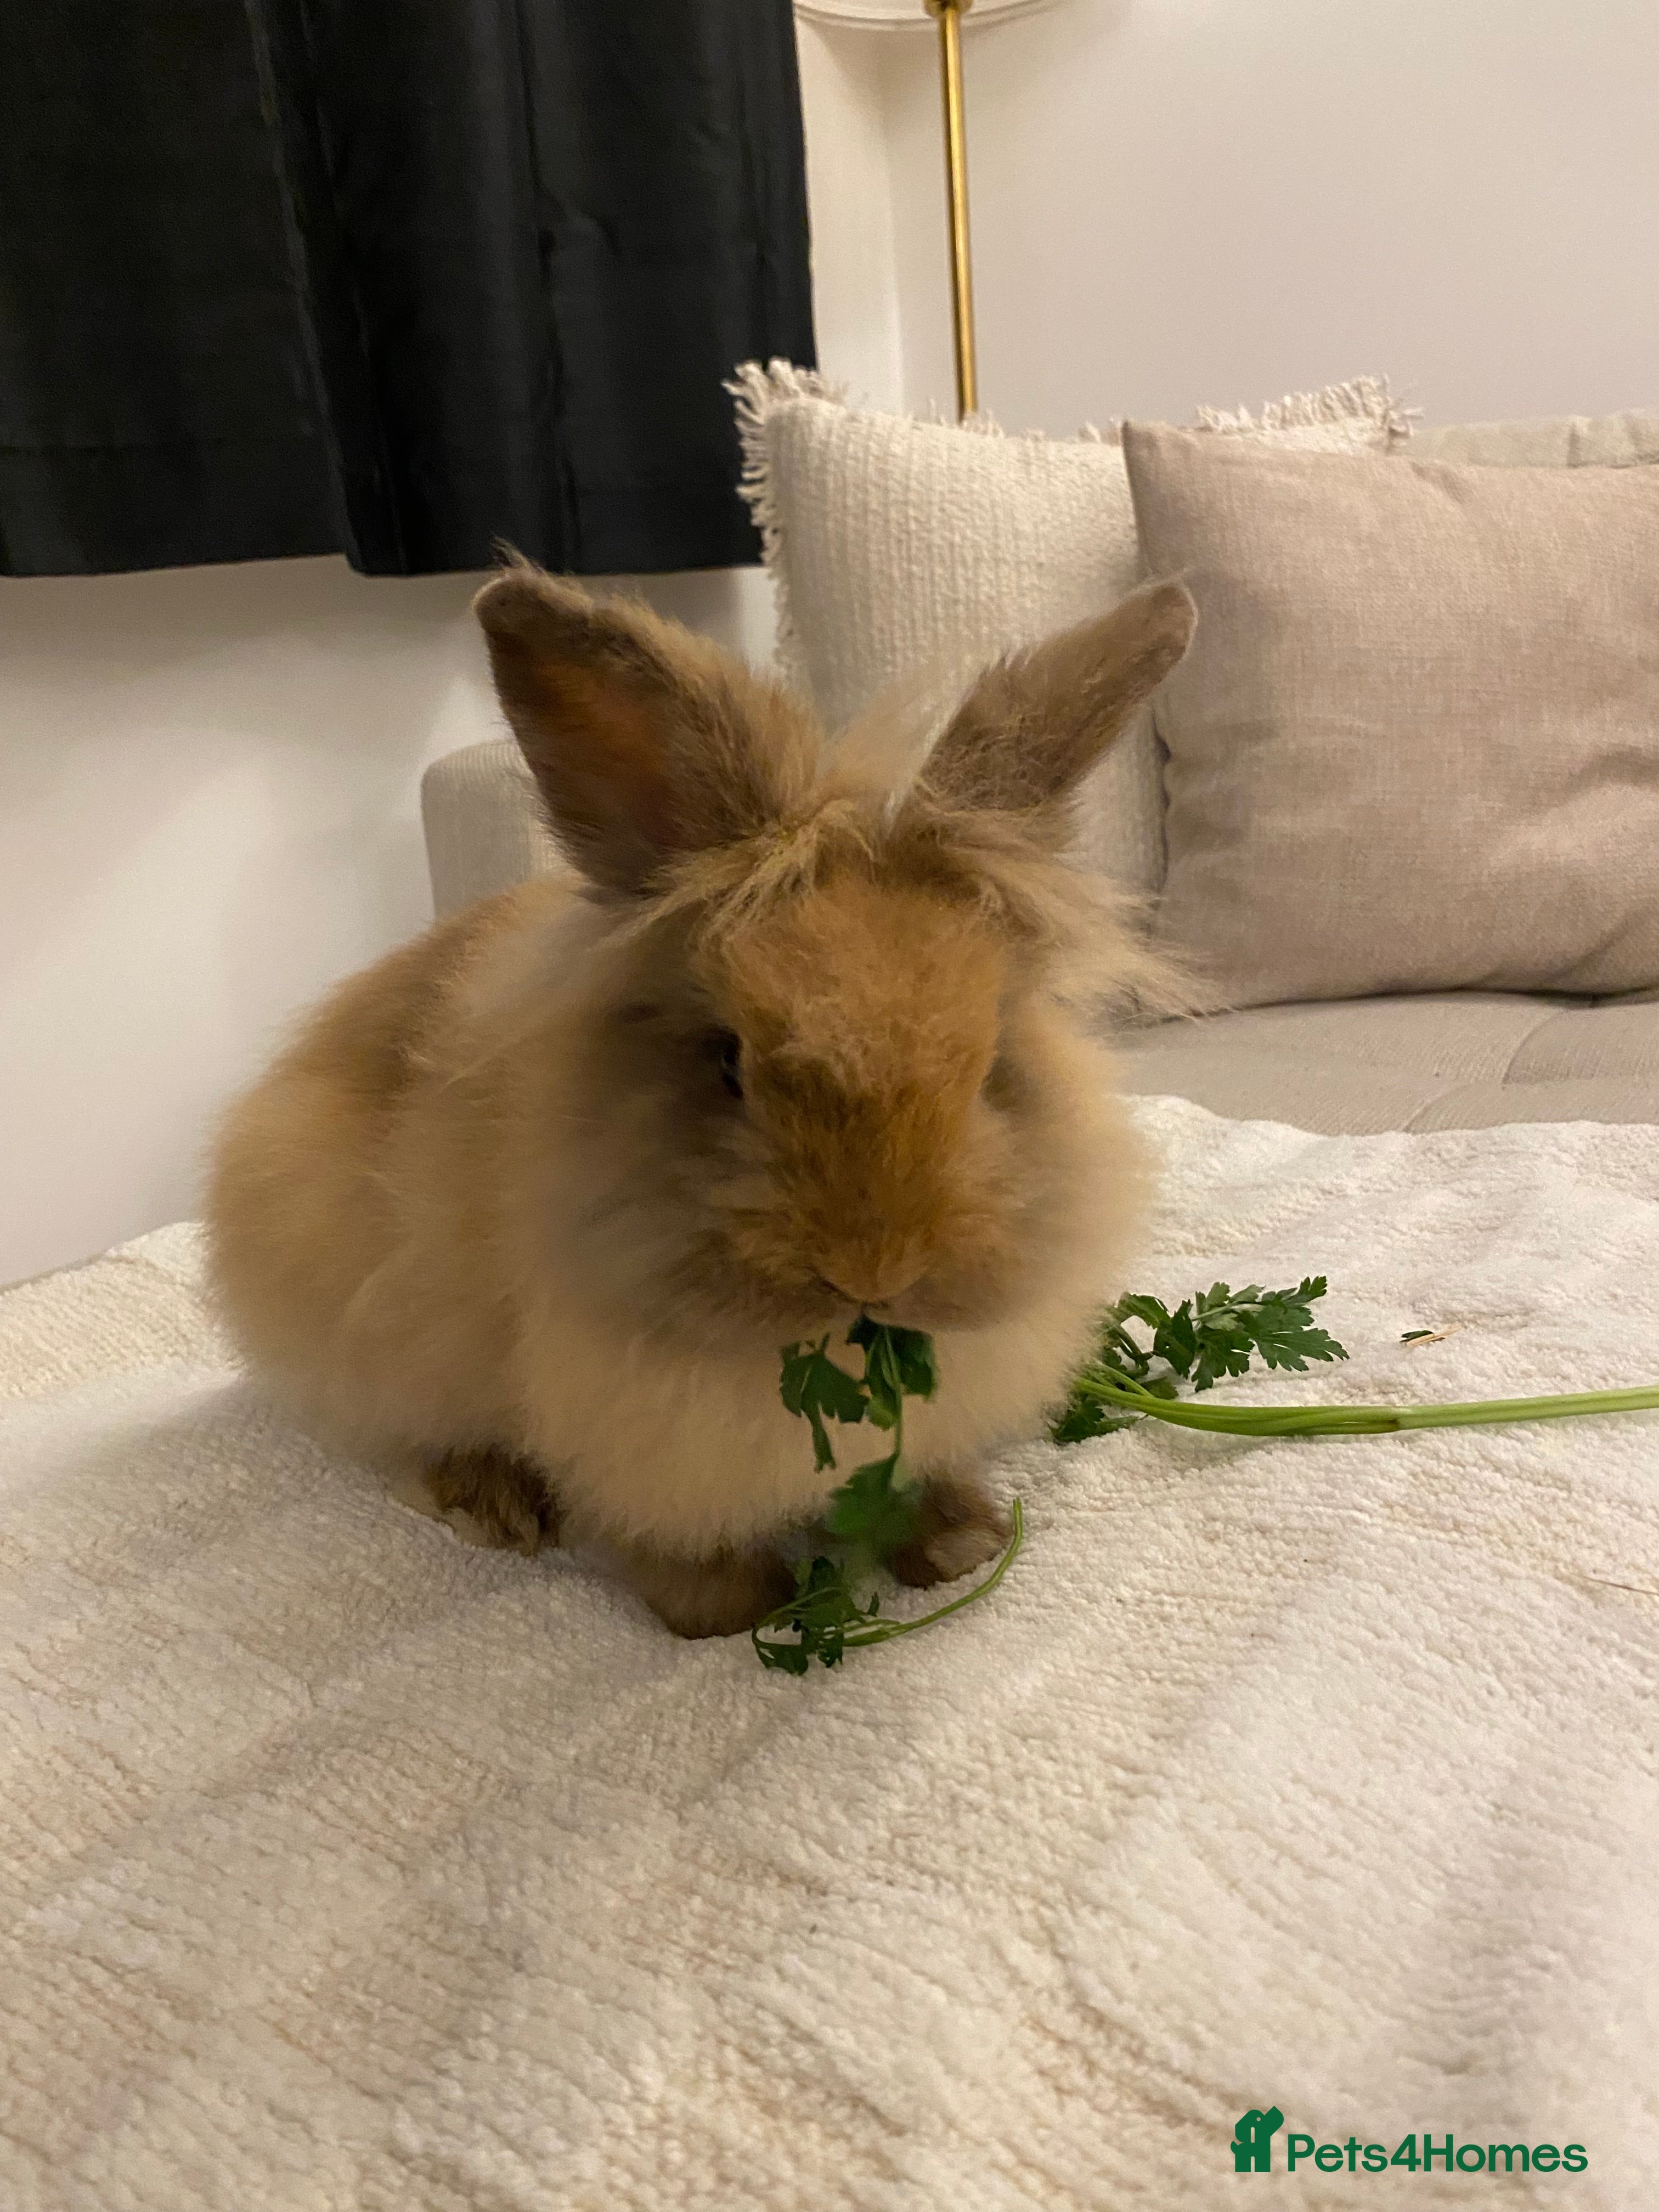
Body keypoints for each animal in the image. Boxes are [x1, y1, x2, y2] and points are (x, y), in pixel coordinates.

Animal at [205, 562, 1196, 1638]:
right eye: (728, 1063)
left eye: (989, 1065)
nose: (873, 1270)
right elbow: (668, 1543)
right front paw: (724, 1615)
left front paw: (960, 1548)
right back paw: (491, 1505)